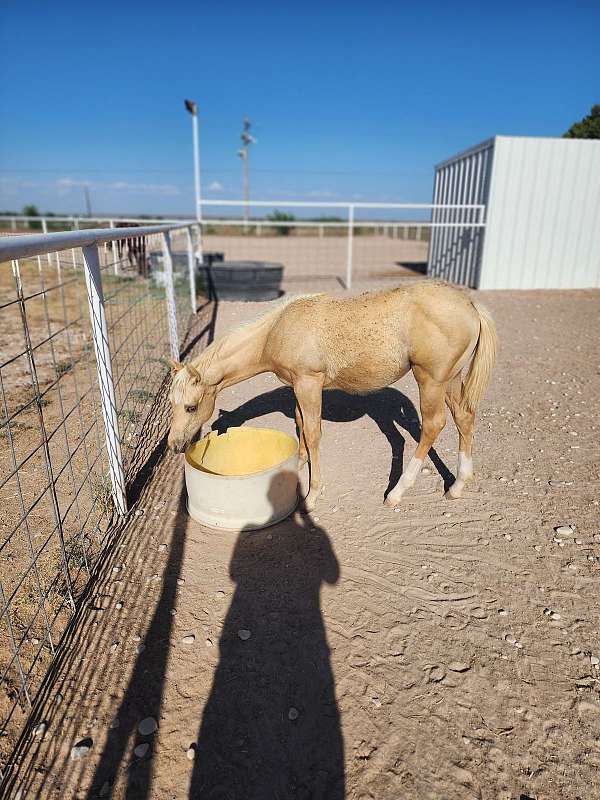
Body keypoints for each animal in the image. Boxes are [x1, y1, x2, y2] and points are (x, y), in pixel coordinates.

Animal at [167, 282, 498, 510]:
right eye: (172, 404)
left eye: (191, 406)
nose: (174, 445)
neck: (277, 330)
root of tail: (469, 303)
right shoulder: (297, 386)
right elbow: (300, 423)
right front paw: (299, 462)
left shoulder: (308, 383)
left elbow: (313, 433)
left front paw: (311, 496)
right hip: (450, 379)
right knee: (463, 418)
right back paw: (457, 486)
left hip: (430, 380)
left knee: (432, 426)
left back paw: (397, 493)